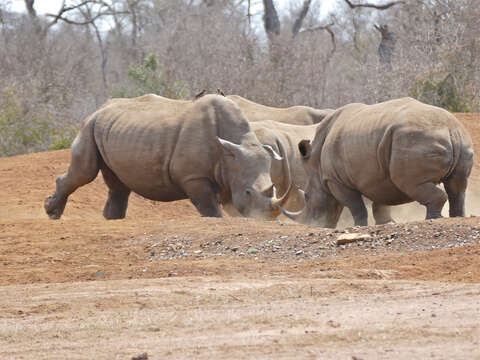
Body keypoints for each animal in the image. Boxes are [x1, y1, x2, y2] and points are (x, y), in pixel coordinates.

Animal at [45, 94, 290, 219]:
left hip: (112, 129)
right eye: (249, 192)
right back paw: (52, 213)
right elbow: (210, 209)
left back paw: (111, 219)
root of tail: (97, 109)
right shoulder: (194, 177)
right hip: (89, 127)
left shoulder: (228, 172)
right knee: (85, 173)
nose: (267, 217)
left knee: (117, 185)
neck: (234, 146)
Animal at [280, 97, 474, 228]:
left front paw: (359, 226)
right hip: (459, 139)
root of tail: (450, 129)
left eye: (307, 196)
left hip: (416, 139)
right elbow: (380, 203)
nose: (311, 225)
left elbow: (356, 206)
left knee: (411, 183)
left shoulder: (335, 180)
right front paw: (387, 222)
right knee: (458, 187)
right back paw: (457, 217)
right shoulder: (378, 176)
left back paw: (432, 219)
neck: (316, 164)